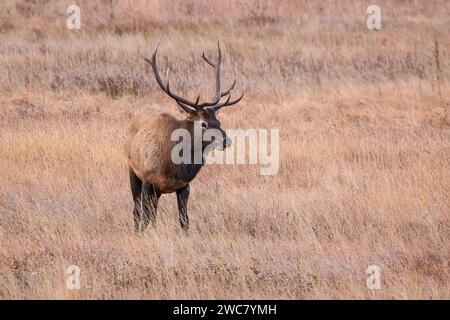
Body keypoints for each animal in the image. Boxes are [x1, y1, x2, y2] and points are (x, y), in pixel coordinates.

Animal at [126, 42, 244, 232]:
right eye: (203, 123)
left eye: (218, 121)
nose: (227, 140)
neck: (173, 165)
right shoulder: (147, 179)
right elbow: (144, 215)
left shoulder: (184, 186)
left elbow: (184, 221)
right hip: (132, 170)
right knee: (137, 210)